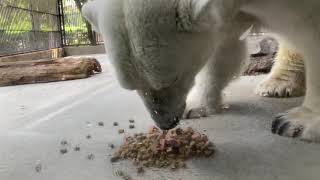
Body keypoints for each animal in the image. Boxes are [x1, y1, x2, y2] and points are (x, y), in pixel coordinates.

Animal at [83, 0, 320, 142]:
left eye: (171, 79)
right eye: (131, 87)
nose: (166, 124)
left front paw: (298, 121)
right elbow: (223, 46)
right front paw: (197, 106)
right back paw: (277, 83)